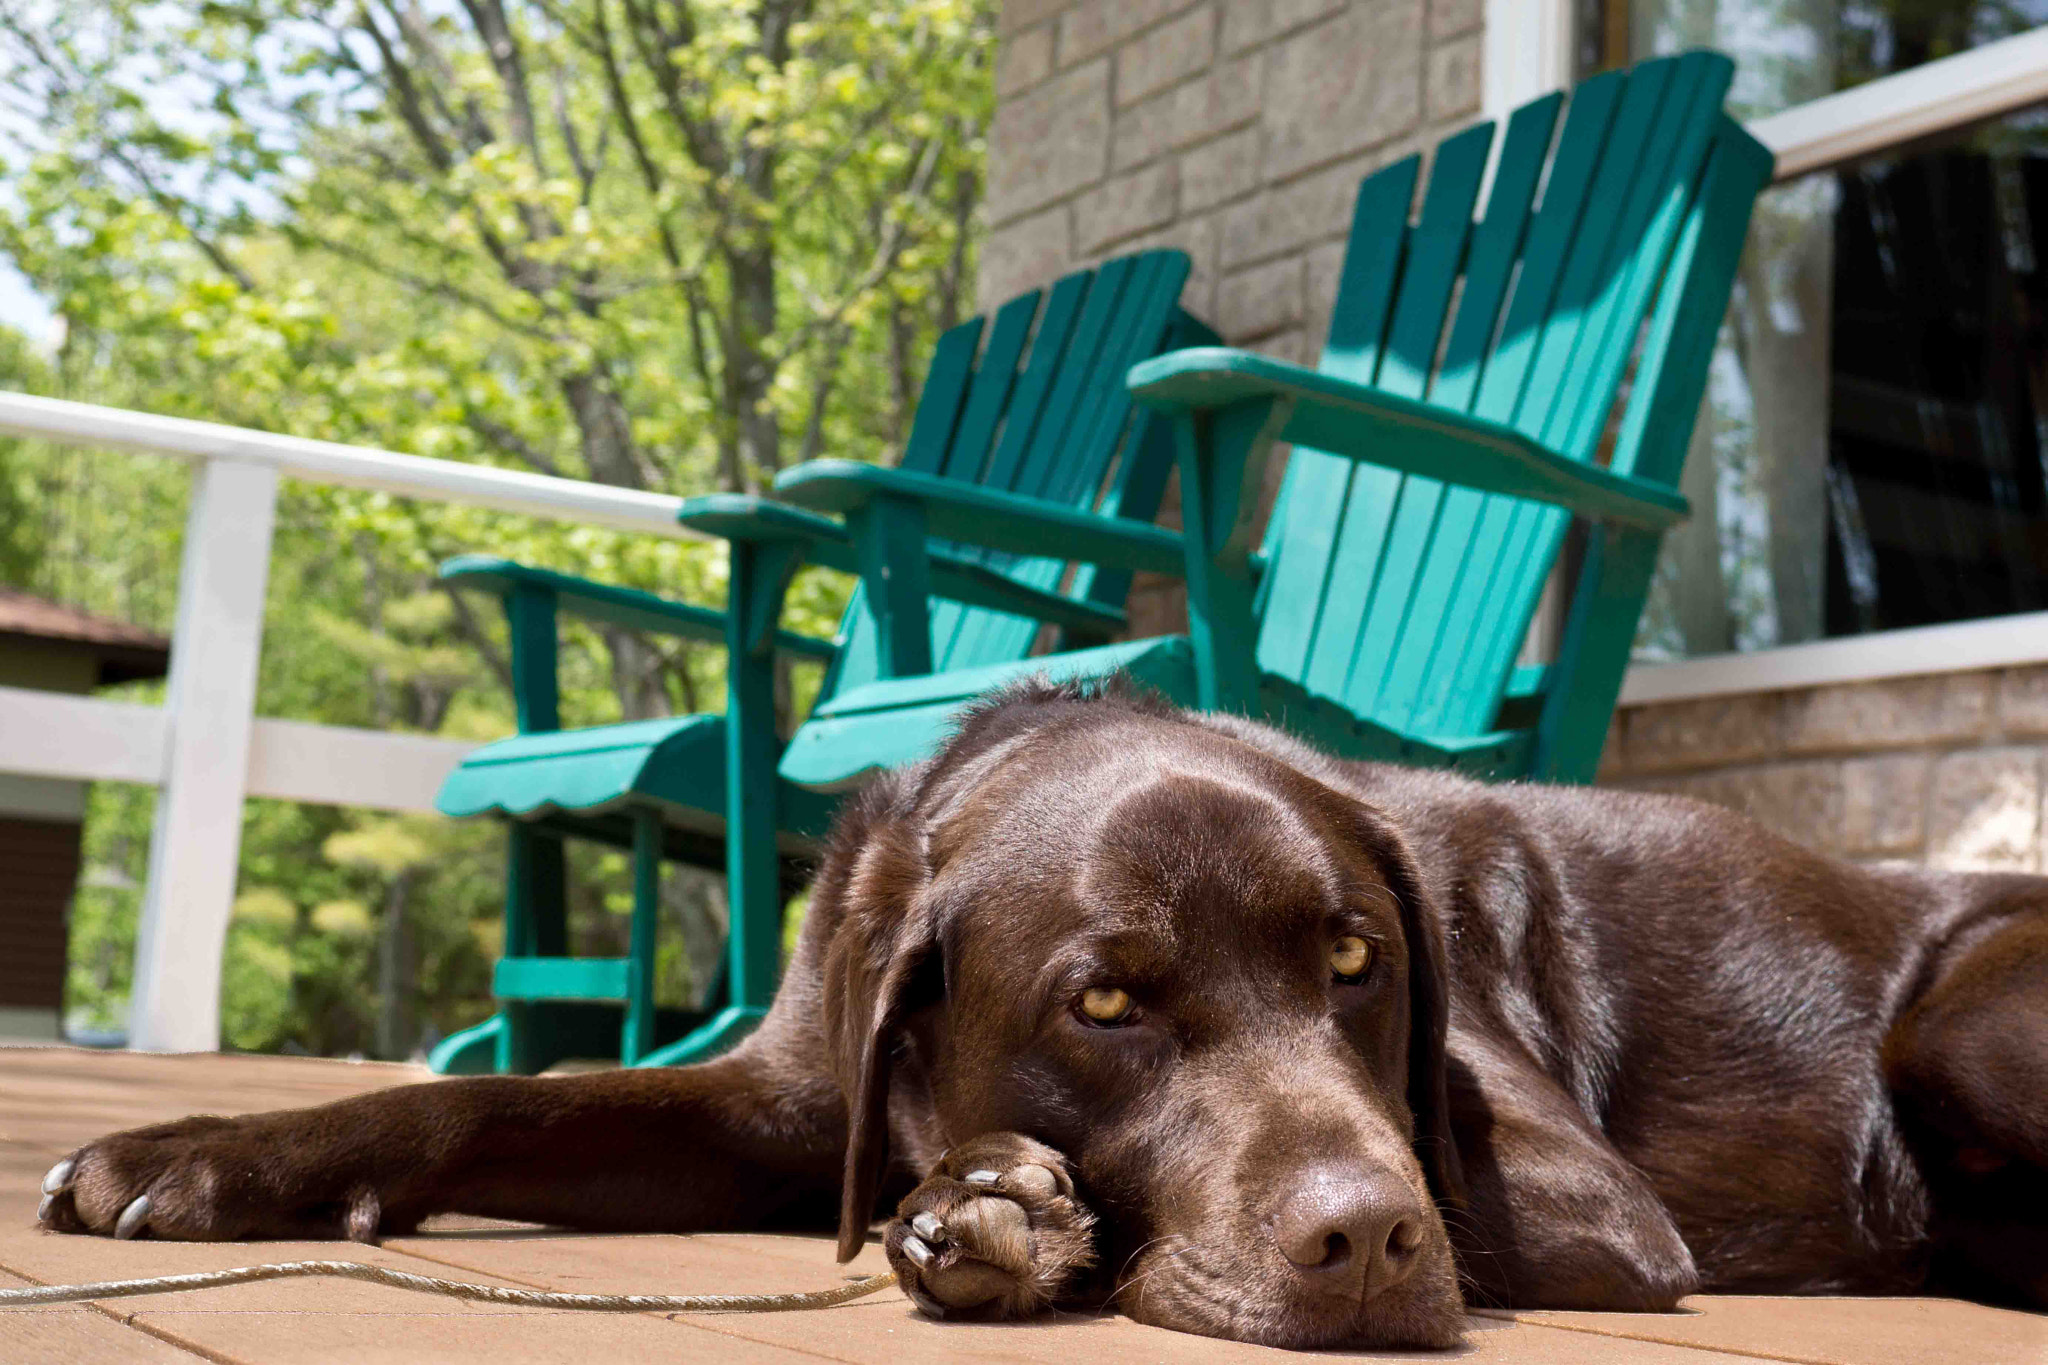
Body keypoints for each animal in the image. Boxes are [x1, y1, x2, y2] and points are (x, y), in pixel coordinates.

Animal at [32, 683, 2048, 1342]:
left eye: (1356, 966)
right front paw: (203, 1154)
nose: (1369, 1242)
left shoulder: (1585, 1205)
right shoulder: (780, 1104)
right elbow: (500, 1099)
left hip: (1964, 1019)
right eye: (1108, 1000)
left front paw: (995, 1213)